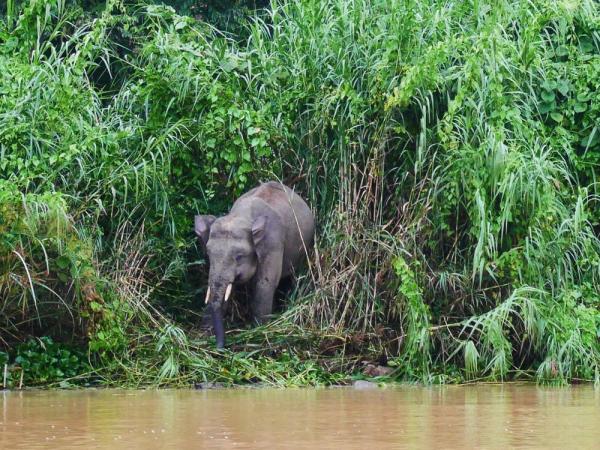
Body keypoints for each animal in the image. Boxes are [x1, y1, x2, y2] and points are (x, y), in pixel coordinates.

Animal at [195, 181, 316, 350]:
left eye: (239, 257)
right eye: (208, 254)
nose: (220, 347)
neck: (243, 216)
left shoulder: (272, 242)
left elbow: (264, 284)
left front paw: (258, 333)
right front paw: (204, 335)